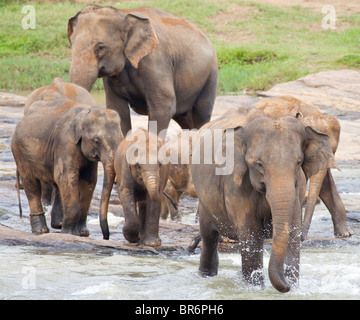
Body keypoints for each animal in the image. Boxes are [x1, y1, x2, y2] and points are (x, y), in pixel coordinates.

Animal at [10, 78, 122, 238]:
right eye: (96, 141)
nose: (105, 237)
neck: (85, 113)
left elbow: (89, 180)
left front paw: (82, 233)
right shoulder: (65, 141)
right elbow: (67, 178)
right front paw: (68, 233)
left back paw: (57, 225)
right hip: (20, 151)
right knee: (31, 184)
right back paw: (41, 230)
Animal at [68, 5, 218, 135]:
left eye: (100, 47)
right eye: (72, 43)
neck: (123, 14)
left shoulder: (155, 60)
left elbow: (163, 106)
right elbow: (118, 108)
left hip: (210, 75)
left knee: (202, 112)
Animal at [193, 112, 336, 292]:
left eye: (298, 162)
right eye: (259, 164)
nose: (287, 286)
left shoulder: (297, 190)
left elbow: (292, 233)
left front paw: (294, 288)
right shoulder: (235, 185)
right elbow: (251, 236)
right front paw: (256, 289)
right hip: (204, 203)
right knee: (209, 238)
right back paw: (205, 276)